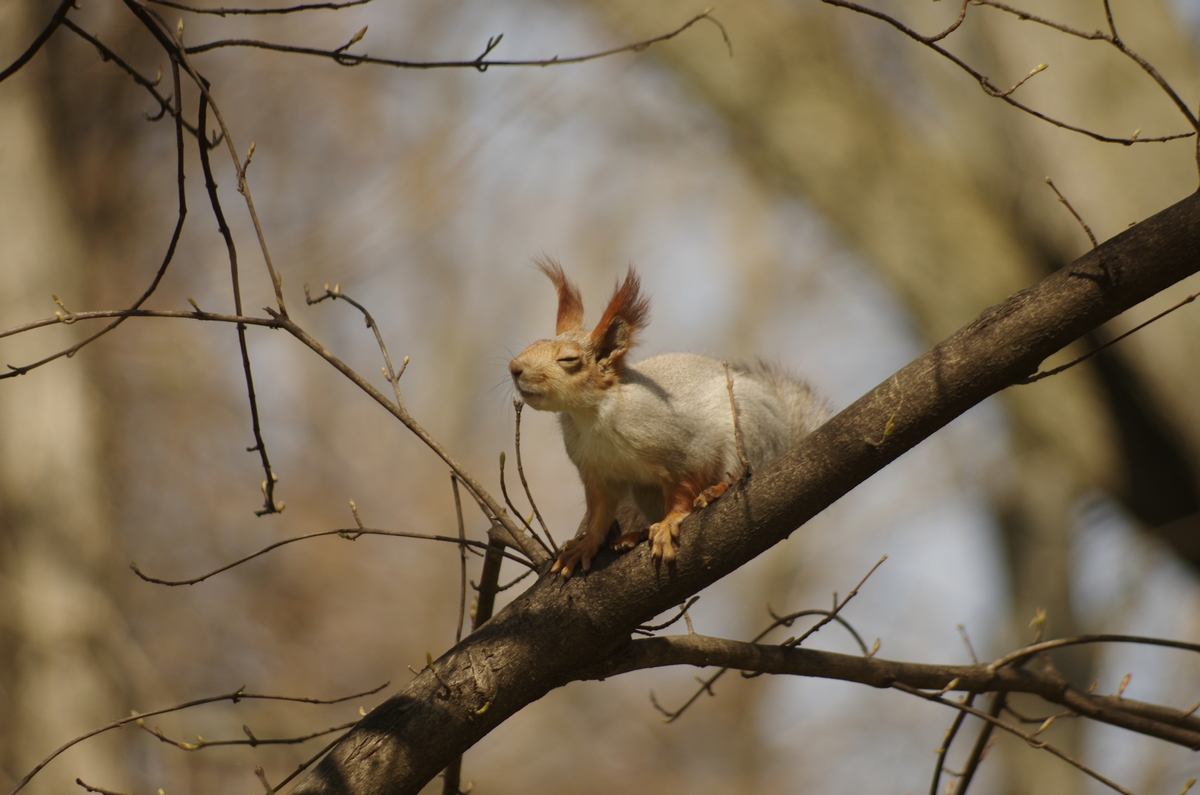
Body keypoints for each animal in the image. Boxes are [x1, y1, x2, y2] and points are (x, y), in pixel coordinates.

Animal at [506, 261, 825, 578]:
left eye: (569, 360)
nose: (514, 367)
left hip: (747, 433)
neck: (592, 415)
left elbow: (683, 489)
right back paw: (635, 534)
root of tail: (781, 443)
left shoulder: (683, 448)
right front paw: (585, 546)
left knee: (738, 472)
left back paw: (716, 491)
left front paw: (670, 522)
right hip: (645, 491)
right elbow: (599, 513)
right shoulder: (595, 472)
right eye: (532, 345)